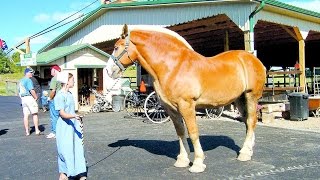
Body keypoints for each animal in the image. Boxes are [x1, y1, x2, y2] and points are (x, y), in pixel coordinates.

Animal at [106, 24, 266, 173]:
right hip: (239, 98)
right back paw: (248, 150)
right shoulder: (171, 109)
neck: (173, 66)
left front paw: (198, 163)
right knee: (247, 122)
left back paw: (244, 154)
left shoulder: (187, 106)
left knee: (251, 121)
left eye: (116, 47)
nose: (108, 71)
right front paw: (182, 160)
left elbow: (193, 132)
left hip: (251, 96)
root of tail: (253, 59)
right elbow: (180, 132)